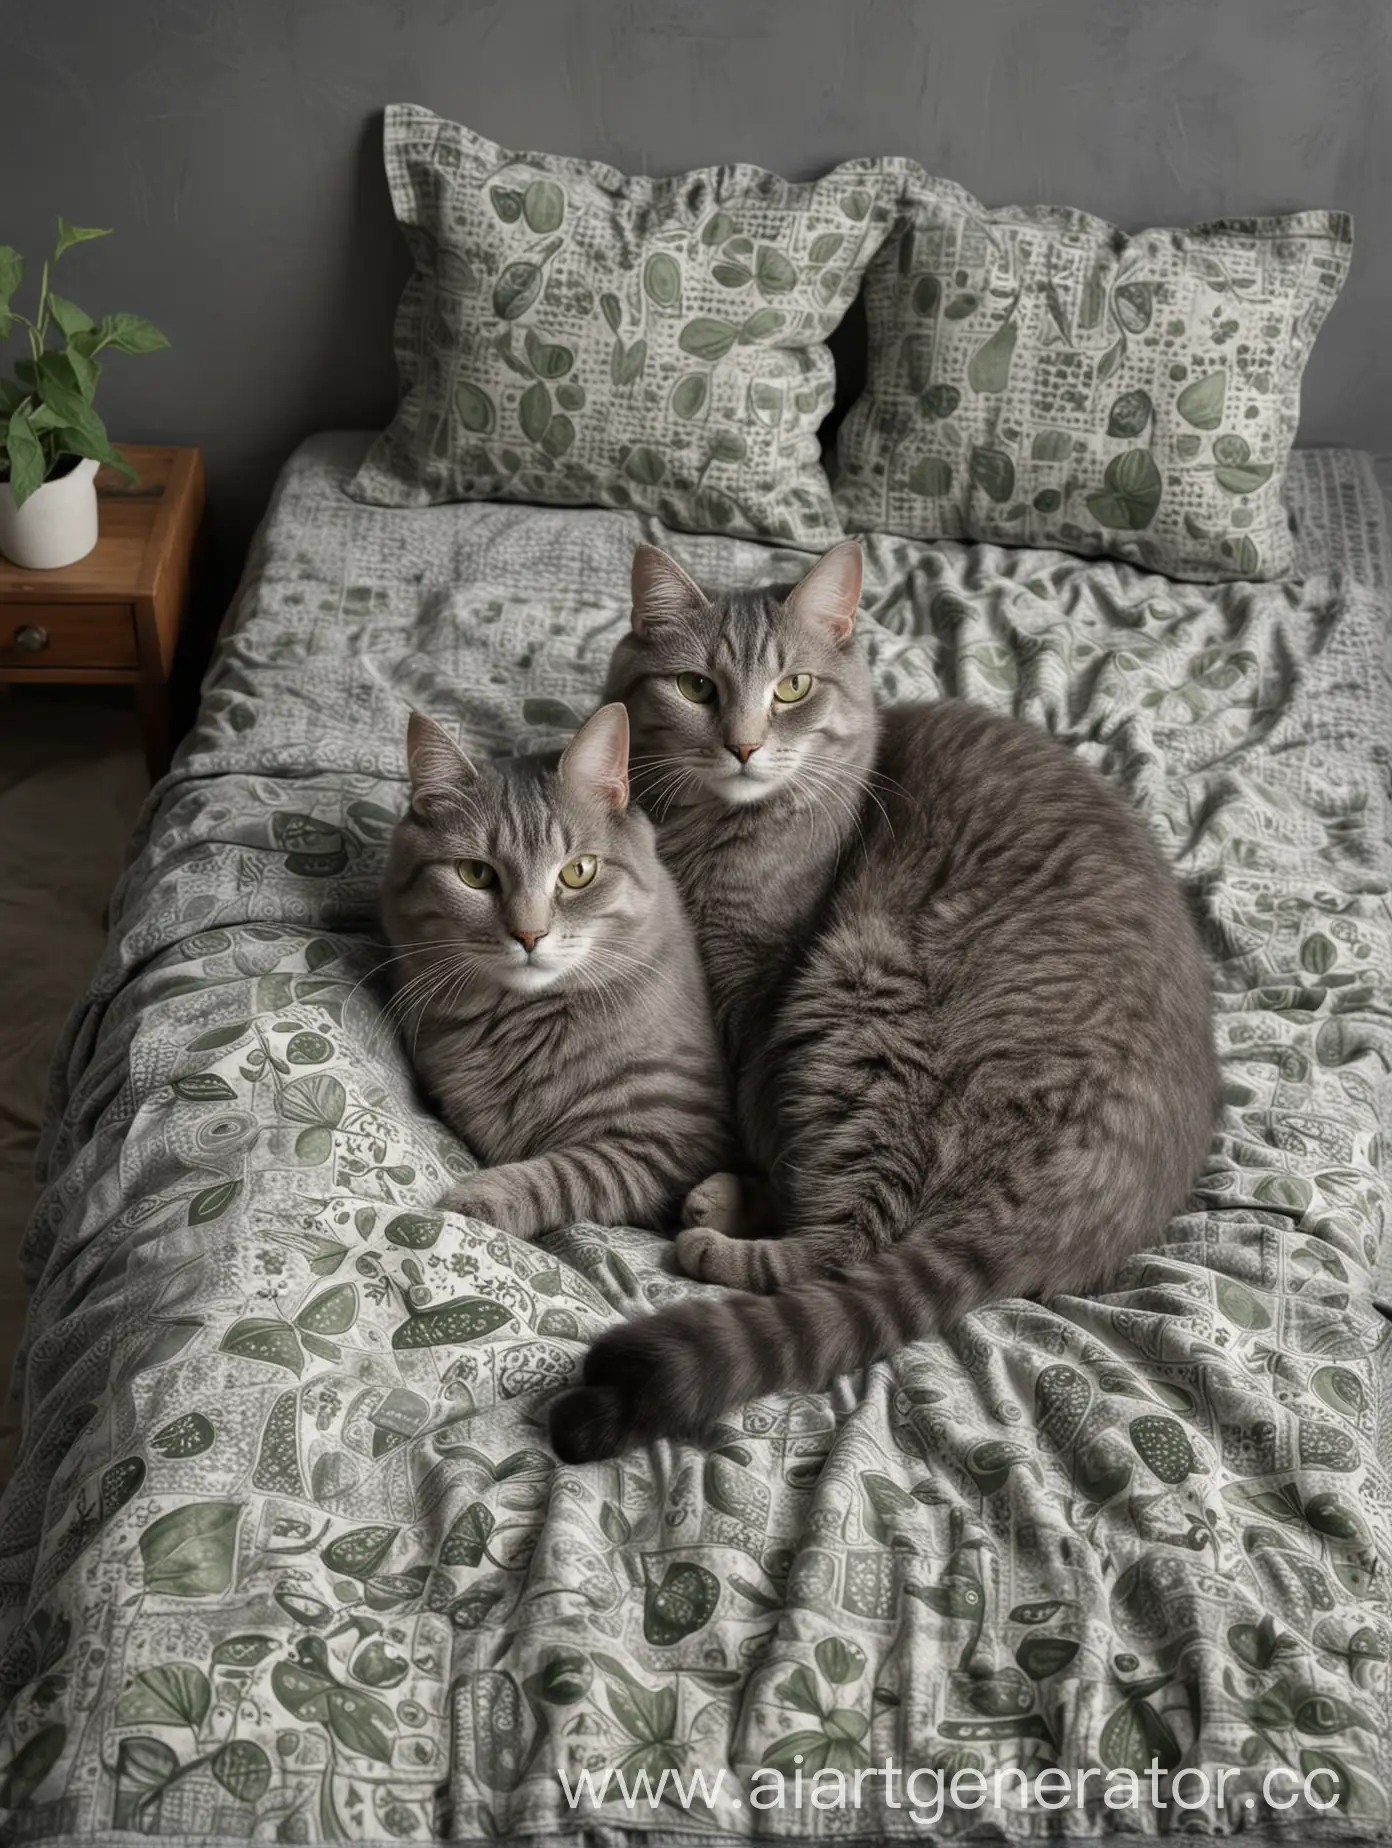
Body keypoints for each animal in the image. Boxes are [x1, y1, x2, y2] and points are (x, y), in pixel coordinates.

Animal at [380, 705, 728, 1241]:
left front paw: (477, 1199)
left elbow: (565, 1173)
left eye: (578, 871)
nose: (529, 935)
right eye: (475, 875)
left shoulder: (668, 1139)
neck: (523, 1024)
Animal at [543, 539, 1212, 1463]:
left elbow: (754, 1109)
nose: (744, 746)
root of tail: (1068, 1215)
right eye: (695, 687)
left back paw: (720, 1234)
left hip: (858, 988)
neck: (719, 832)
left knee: (848, 1240)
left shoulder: (754, 993)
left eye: (792, 687)